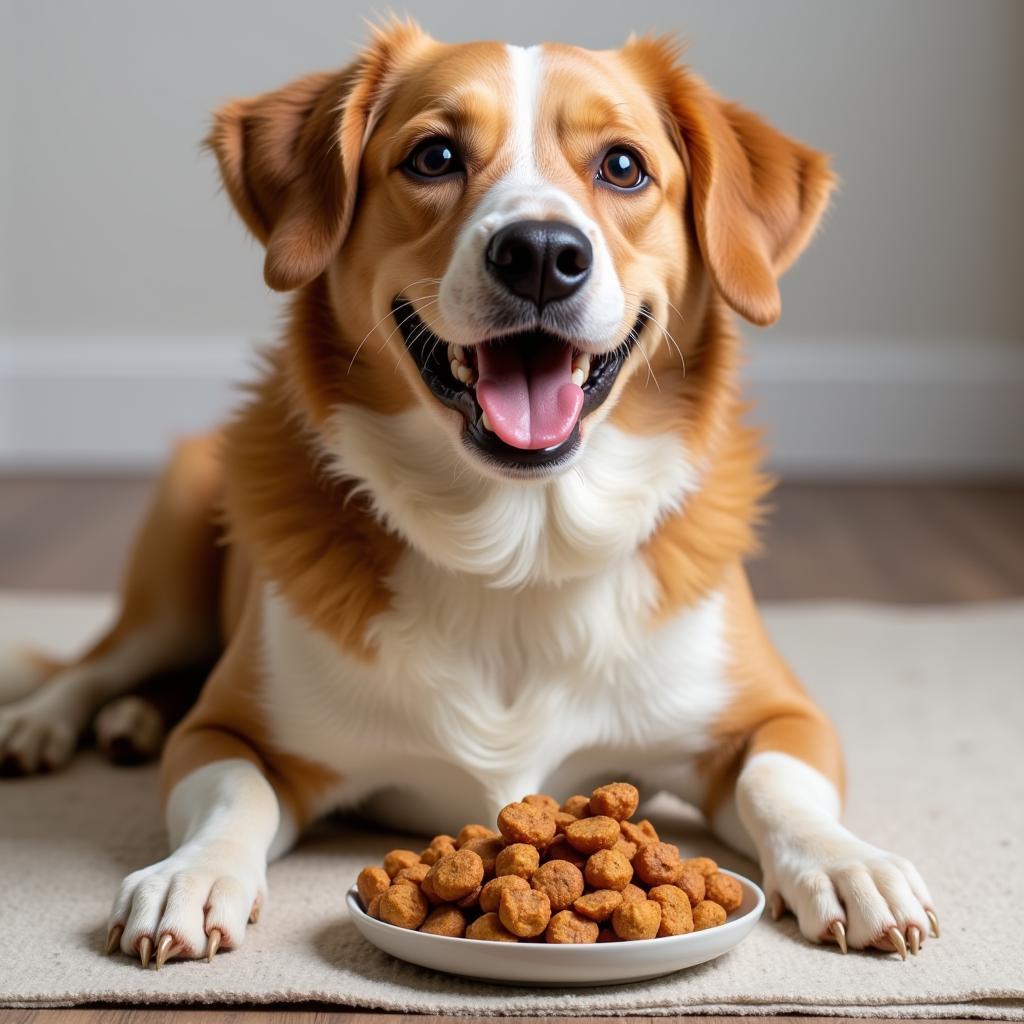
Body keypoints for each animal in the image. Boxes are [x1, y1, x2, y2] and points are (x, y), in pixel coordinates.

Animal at [0, 22, 937, 966]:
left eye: (624, 167)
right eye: (435, 156)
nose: (542, 255)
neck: (519, 543)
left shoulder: (778, 716)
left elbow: (779, 783)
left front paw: (848, 863)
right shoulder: (228, 732)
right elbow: (237, 793)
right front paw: (191, 874)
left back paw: (128, 720)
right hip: (171, 581)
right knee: (95, 663)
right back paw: (49, 722)